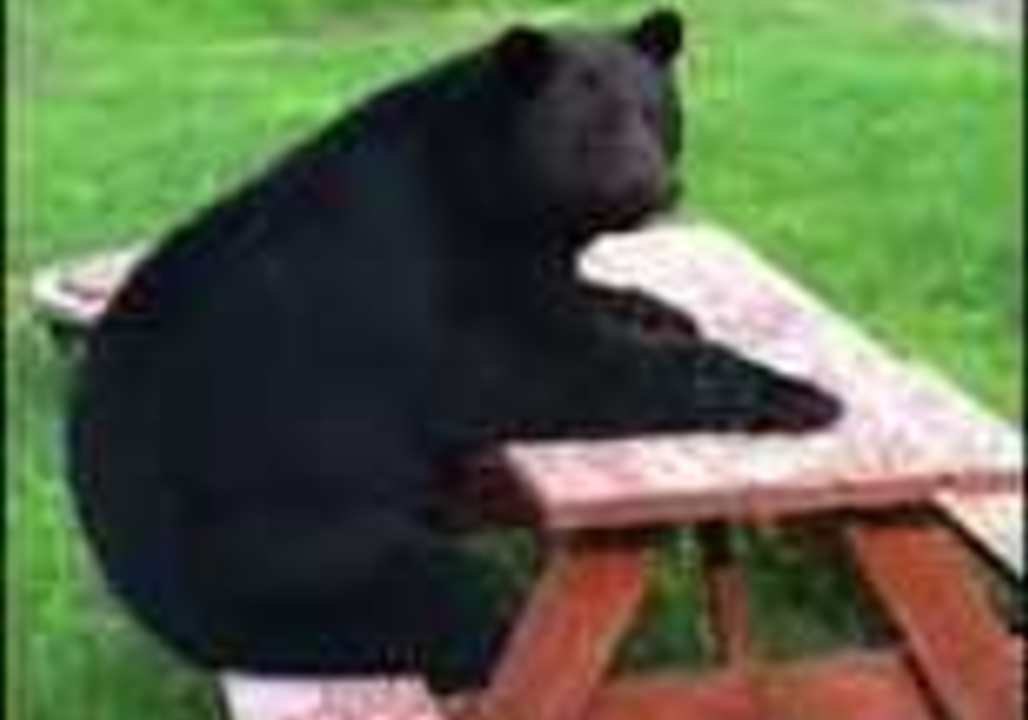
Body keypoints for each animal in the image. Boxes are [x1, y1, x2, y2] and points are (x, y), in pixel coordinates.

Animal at [66, 9, 841, 691]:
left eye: (657, 112)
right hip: (281, 540)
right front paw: (803, 394)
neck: (485, 181)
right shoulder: (437, 275)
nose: (656, 187)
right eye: (591, 128)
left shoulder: (524, 256)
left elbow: (577, 299)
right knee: (449, 600)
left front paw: (663, 309)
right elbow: (545, 369)